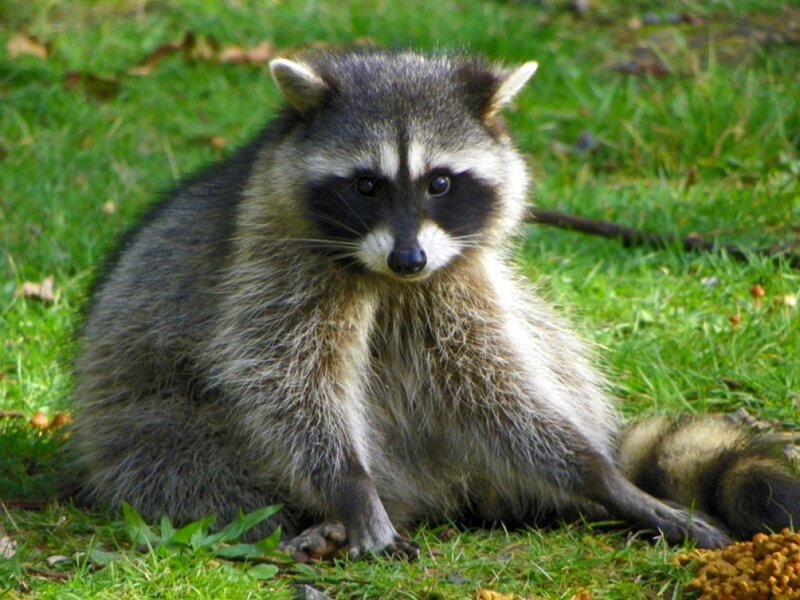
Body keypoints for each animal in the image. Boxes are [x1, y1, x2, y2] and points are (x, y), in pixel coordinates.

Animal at [71, 50, 799, 558]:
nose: (407, 261)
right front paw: (351, 490)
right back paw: (312, 518)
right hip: (139, 423)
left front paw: (598, 474)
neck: (388, 274)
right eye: (366, 185)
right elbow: (285, 379)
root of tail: (427, 487)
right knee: (189, 455)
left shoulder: (457, 275)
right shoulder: (275, 261)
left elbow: (491, 383)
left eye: (441, 183)